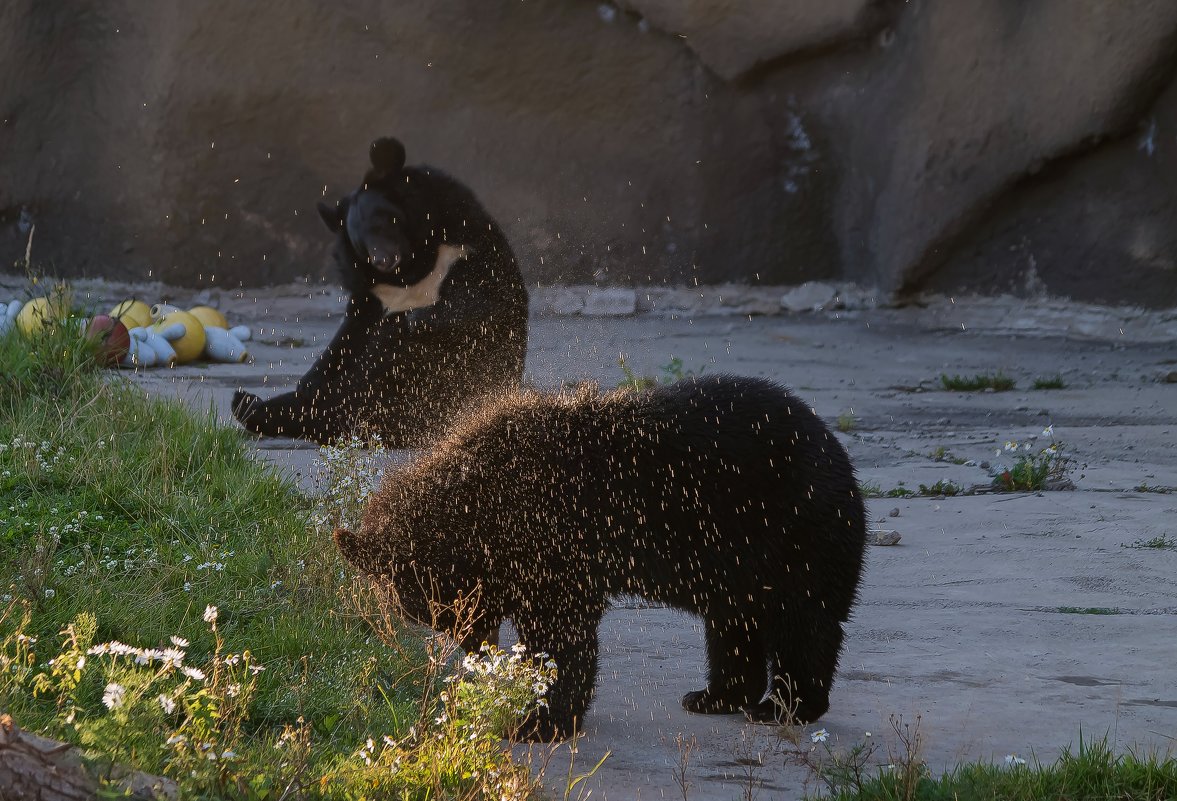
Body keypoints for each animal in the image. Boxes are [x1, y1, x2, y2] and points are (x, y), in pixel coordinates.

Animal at [234, 138, 529, 449]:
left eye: (382, 224)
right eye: (361, 244)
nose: (382, 260)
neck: (411, 268)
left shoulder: (466, 245)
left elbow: (482, 302)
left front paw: (414, 320)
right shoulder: (369, 295)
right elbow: (346, 339)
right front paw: (307, 381)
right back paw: (248, 404)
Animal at [336, 374, 870, 738]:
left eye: (442, 608)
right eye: (429, 615)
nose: (474, 646)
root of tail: (842, 457)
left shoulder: (556, 534)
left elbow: (561, 628)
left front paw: (539, 720)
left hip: (792, 531)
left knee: (802, 620)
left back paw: (784, 705)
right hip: (742, 562)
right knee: (732, 624)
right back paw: (712, 696)